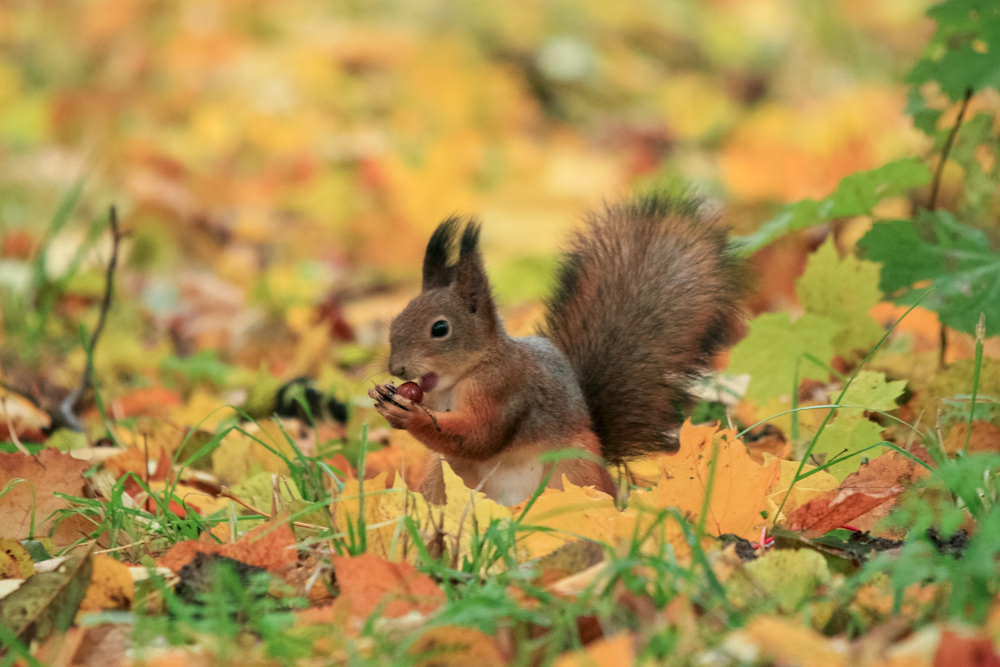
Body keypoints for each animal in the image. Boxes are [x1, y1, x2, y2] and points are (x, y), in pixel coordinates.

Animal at [372, 193, 748, 506]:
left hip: (573, 469)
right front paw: (384, 396)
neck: (466, 374)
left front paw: (409, 414)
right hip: (444, 474)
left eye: (440, 329)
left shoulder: (506, 389)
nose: (397, 369)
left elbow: (480, 435)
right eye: (396, 320)